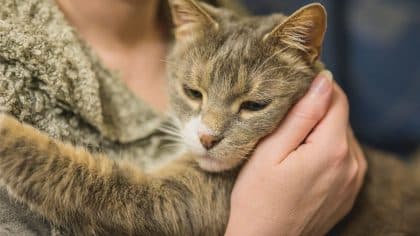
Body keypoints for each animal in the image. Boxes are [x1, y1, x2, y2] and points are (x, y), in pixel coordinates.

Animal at [0, 0, 420, 235]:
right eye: (192, 93)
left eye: (254, 105)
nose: (207, 138)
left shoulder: (180, 203)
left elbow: (84, 177)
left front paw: (8, 131)